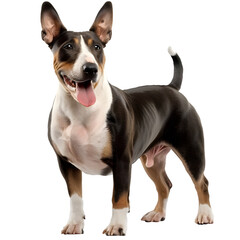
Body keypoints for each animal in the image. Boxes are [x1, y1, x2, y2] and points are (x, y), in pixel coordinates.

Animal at [40, 0, 213, 235]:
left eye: (97, 47)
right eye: (68, 47)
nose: (90, 69)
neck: (81, 111)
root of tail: (171, 88)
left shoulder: (121, 160)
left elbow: (119, 197)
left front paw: (117, 226)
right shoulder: (66, 163)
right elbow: (75, 197)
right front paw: (75, 224)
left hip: (191, 150)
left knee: (201, 181)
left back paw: (205, 214)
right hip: (152, 159)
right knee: (165, 184)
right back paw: (157, 213)